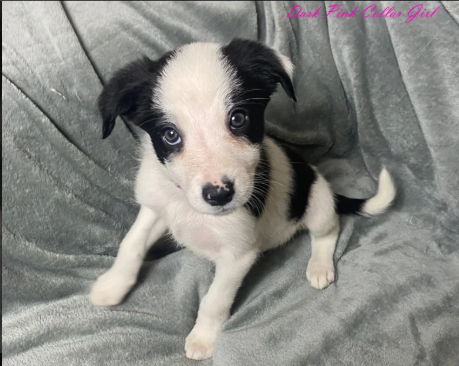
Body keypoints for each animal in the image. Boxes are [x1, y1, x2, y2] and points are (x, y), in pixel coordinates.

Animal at [90, 38, 398, 358]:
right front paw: (112, 286)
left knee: (329, 230)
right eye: (170, 135)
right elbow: (131, 244)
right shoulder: (156, 207)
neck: (187, 206)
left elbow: (215, 299)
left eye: (238, 119)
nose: (219, 194)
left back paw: (320, 266)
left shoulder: (237, 255)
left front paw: (202, 338)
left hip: (317, 202)